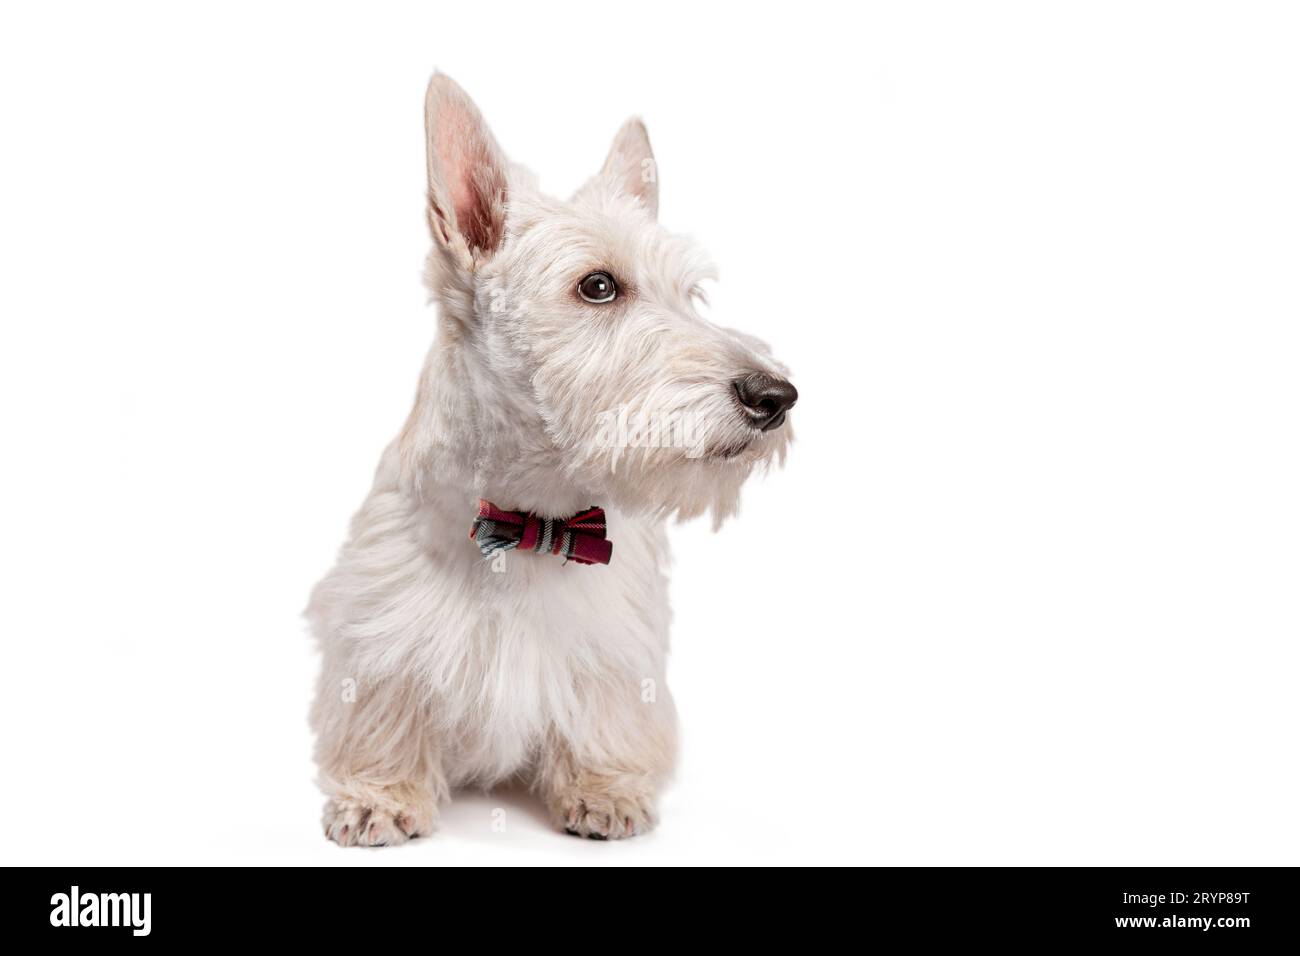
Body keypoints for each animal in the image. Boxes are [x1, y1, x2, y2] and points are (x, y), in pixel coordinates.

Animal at [309, 72, 795, 842]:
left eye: (690, 294)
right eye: (598, 286)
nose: (776, 396)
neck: (532, 518)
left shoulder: (615, 648)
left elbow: (605, 714)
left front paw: (604, 789)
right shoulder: (379, 632)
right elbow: (386, 709)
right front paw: (379, 796)